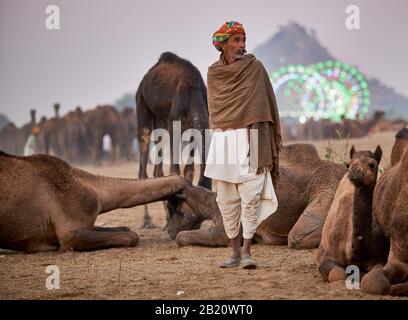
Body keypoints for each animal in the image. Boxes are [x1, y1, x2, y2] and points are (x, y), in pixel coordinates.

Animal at [136, 52, 212, 228]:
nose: (194, 225)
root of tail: (143, 82)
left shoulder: (191, 131)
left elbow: (189, 171)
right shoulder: (174, 126)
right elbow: (175, 171)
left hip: (161, 121)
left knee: (158, 170)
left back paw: (164, 220)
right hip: (143, 107)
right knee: (143, 169)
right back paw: (147, 221)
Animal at [316, 145, 386, 282]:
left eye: (372, 164)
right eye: (348, 164)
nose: (354, 171)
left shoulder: (379, 258)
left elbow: (374, 272)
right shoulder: (329, 256)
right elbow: (338, 274)